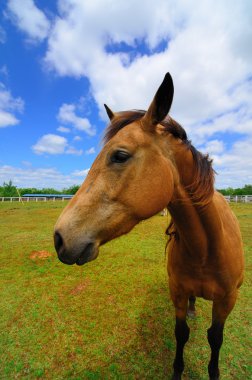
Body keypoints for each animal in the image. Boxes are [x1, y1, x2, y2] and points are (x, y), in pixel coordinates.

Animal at [53, 72, 244, 378]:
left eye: (119, 155)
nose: (59, 237)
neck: (207, 250)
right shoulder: (177, 293)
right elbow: (181, 333)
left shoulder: (227, 301)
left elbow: (215, 338)